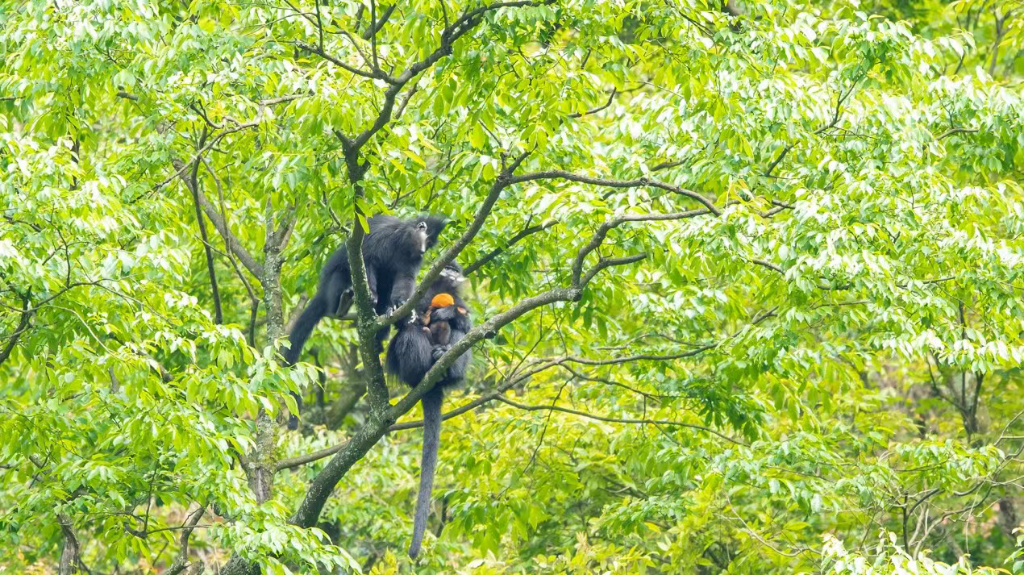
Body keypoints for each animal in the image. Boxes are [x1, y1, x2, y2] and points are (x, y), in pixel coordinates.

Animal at [284, 212, 444, 427]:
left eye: (430, 244)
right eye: (426, 239)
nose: (424, 250)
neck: (401, 244)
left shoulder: (411, 260)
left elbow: (405, 278)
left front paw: (401, 305)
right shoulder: (381, 237)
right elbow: (367, 261)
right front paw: (372, 294)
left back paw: (382, 330)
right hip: (332, 286)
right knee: (342, 274)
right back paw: (341, 305)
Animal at [385, 259, 473, 556]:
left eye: (456, 270)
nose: (453, 273)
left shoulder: (459, 300)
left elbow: (468, 324)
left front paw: (451, 313)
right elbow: (403, 322)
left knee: (460, 335)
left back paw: (444, 360)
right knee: (411, 333)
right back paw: (424, 368)